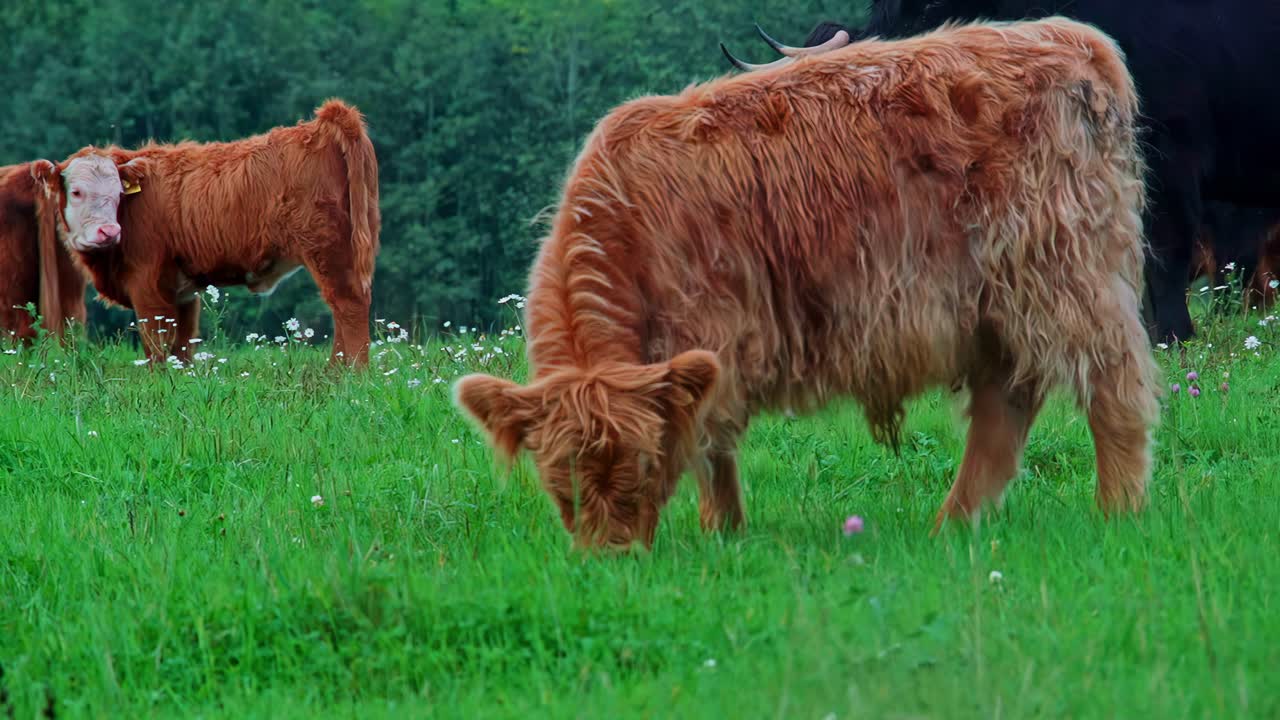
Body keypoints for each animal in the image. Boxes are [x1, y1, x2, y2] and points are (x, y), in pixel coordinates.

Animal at [30, 99, 380, 366]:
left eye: (118, 193)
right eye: (77, 192)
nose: (108, 230)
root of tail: (321, 126)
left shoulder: (148, 288)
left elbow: (157, 349)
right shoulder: (183, 293)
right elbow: (182, 349)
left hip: (330, 254)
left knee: (348, 307)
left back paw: (347, 376)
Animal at [455, 18, 1159, 550]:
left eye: (644, 467)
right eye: (561, 484)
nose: (612, 557)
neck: (626, 220)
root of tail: (1073, 39)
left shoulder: (714, 330)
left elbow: (710, 438)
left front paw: (721, 531)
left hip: (1063, 268)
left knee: (1114, 382)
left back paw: (1117, 513)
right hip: (996, 306)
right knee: (1004, 406)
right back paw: (952, 526)